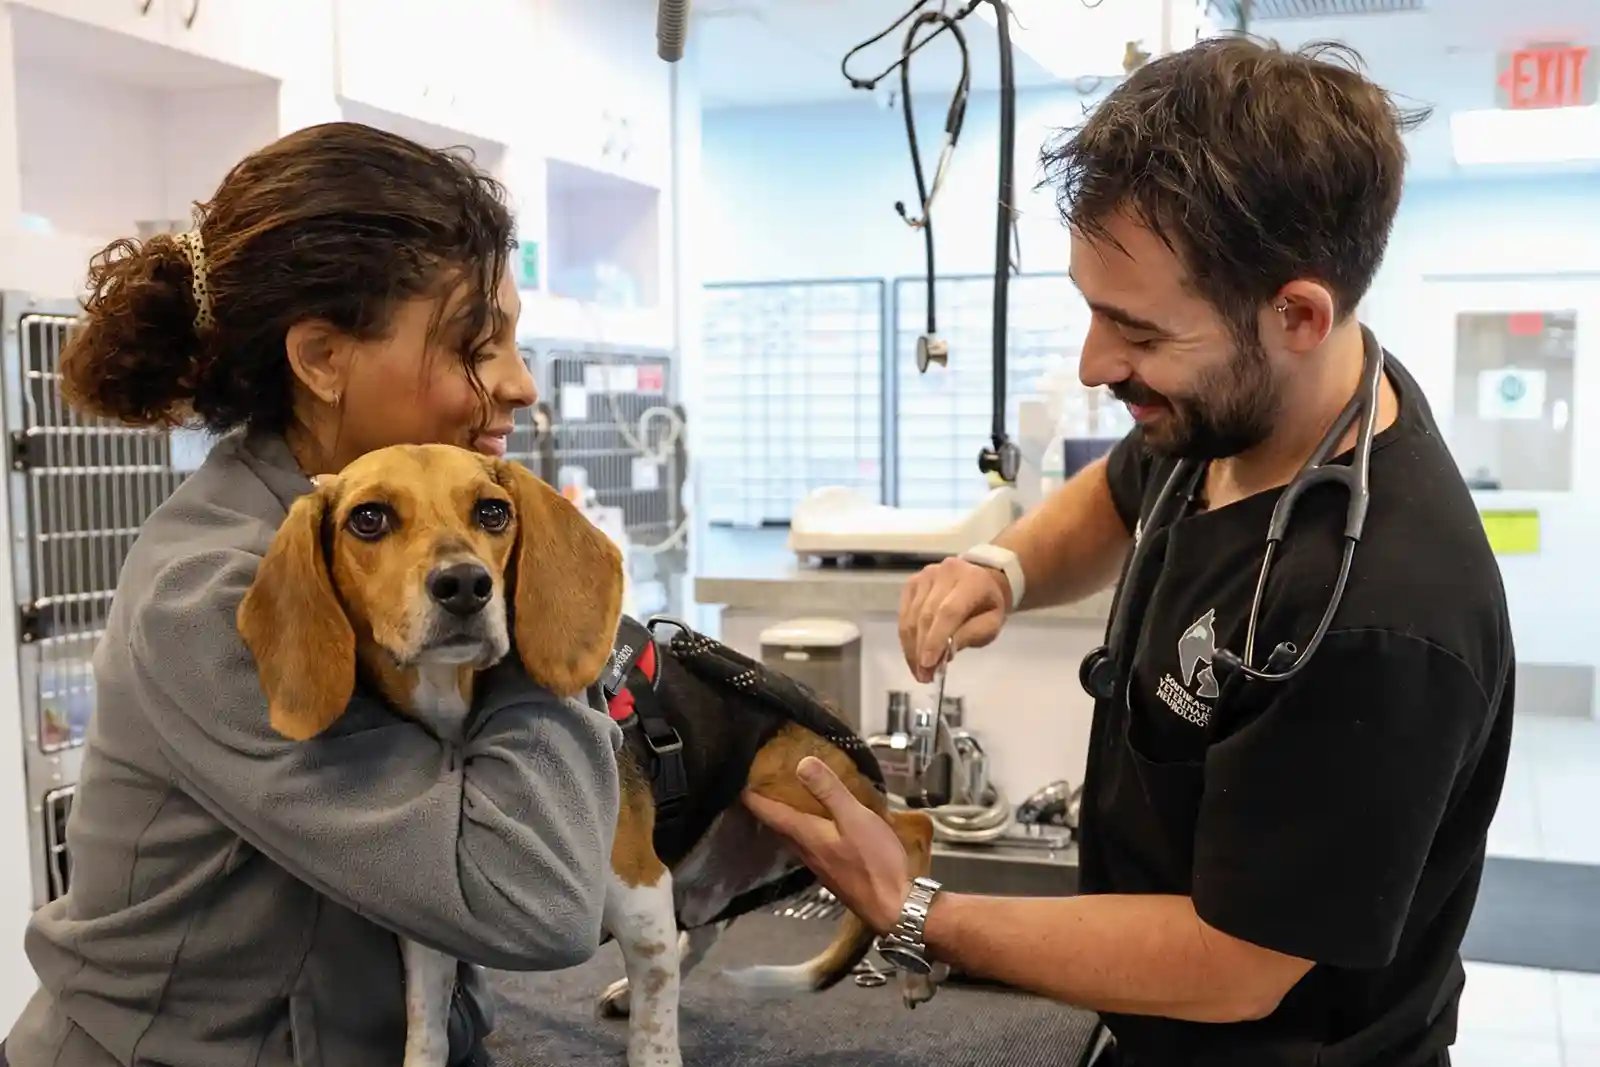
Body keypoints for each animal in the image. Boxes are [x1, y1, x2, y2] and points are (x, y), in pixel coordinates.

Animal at [235, 444, 934, 1067]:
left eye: (493, 512)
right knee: (709, 925)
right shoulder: (431, 935)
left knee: (910, 829)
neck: (458, 712)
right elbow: (425, 1033)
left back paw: (913, 961)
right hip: (720, 863)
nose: (465, 585)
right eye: (368, 519)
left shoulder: (643, 893)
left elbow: (654, 1045)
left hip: (786, 780)